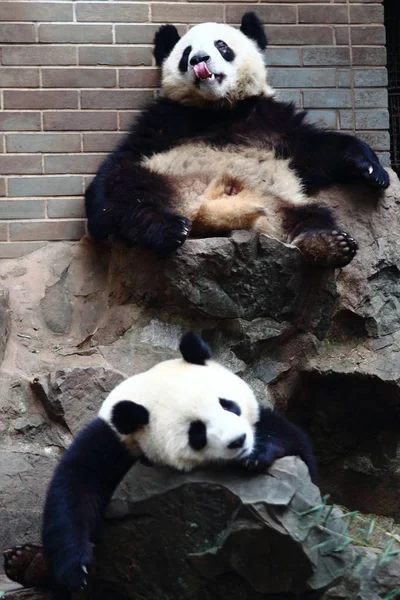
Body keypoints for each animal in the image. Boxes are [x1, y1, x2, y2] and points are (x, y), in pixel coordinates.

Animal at [2, 332, 316, 596]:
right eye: (197, 432)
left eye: (228, 404)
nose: (238, 441)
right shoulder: (112, 439)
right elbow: (74, 488)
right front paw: (75, 570)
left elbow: (294, 441)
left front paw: (257, 453)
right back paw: (25, 561)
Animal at [86, 11, 390, 270]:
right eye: (186, 53)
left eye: (221, 46)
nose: (199, 60)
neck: (219, 109)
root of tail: (207, 212)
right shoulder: (164, 120)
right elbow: (120, 163)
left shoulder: (271, 122)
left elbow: (316, 150)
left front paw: (372, 171)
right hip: (164, 178)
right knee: (130, 191)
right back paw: (168, 229)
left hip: (278, 199)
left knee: (310, 214)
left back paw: (327, 244)